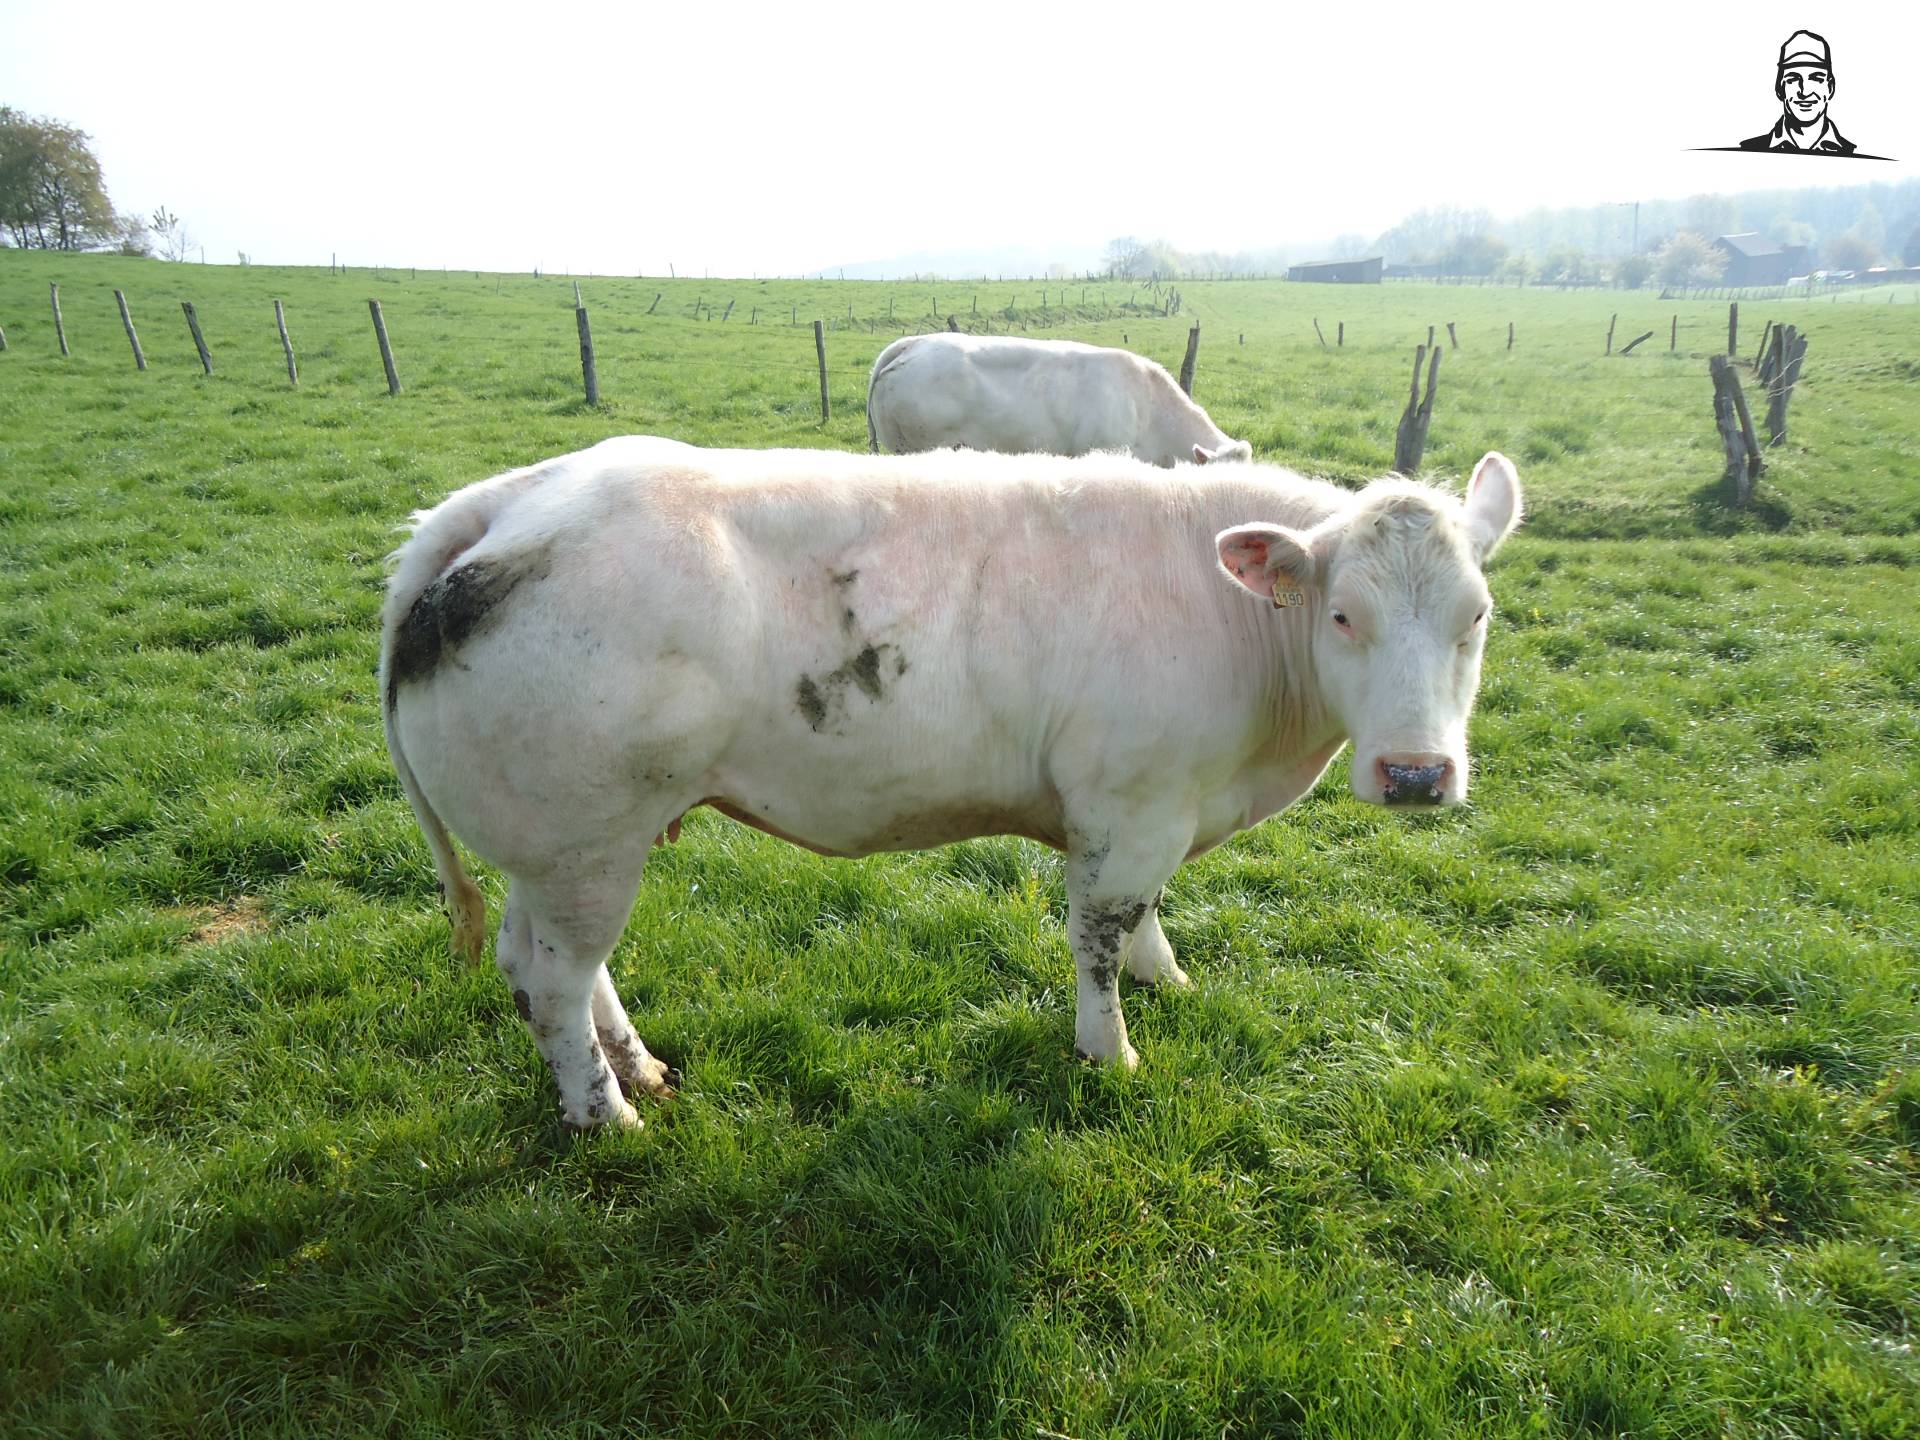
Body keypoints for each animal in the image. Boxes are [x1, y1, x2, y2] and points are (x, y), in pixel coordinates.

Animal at [381, 437, 1522, 1129]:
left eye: (1477, 616)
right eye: (1343, 615)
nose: (1417, 772)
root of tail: (511, 499)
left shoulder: (1159, 805)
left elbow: (1148, 917)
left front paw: (1167, 978)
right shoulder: (1129, 806)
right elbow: (1099, 936)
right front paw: (1109, 1052)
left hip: (562, 846)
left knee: (550, 966)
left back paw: (638, 1071)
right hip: (584, 840)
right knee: (555, 981)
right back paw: (605, 1116)